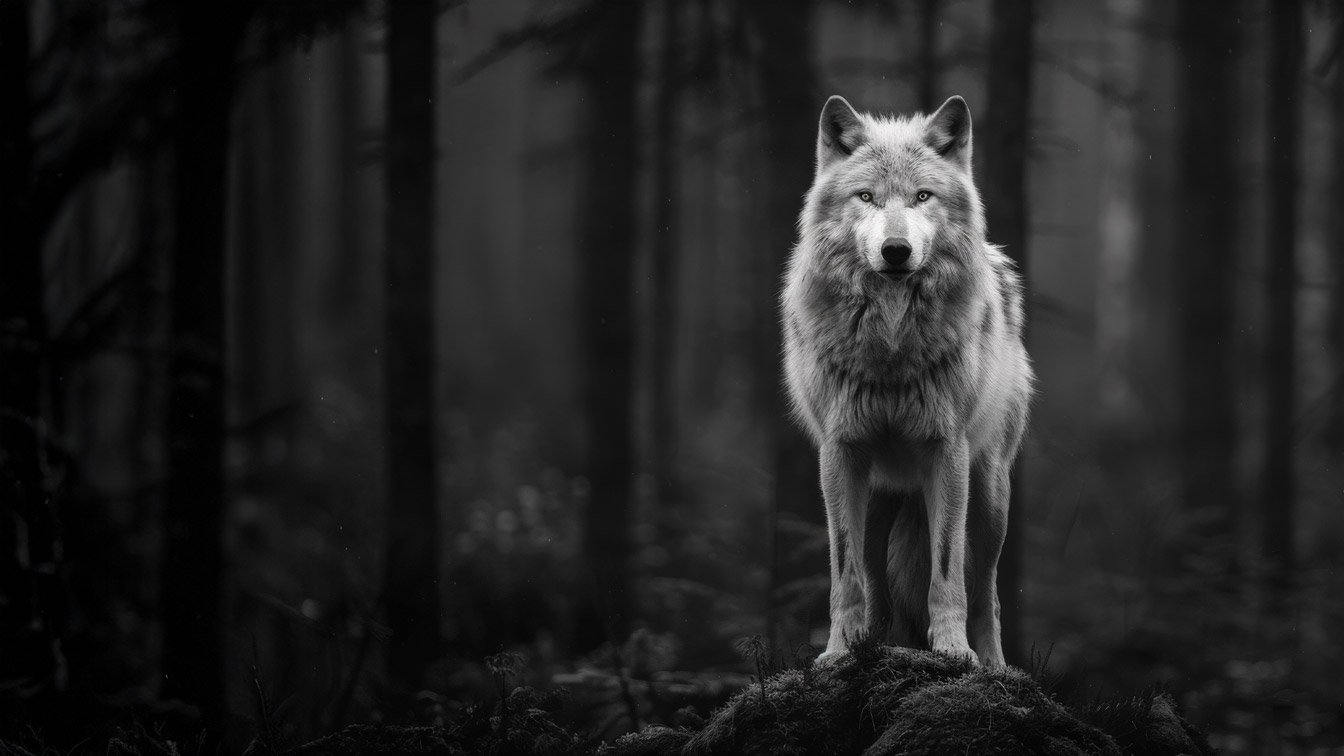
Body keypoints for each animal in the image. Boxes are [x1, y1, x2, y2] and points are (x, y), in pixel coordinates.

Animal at [780, 95, 1033, 668]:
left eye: (922, 197)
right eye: (866, 197)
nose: (895, 250)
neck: (891, 345)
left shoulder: (947, 451)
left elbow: (946, 571)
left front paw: (954, 652)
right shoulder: (840, 452)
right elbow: (844, 573)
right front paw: (838, 653)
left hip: (991, 498)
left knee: (987, 592)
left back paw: (995, 666)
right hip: (879, 496)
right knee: (876, 584)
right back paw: (874, 644)